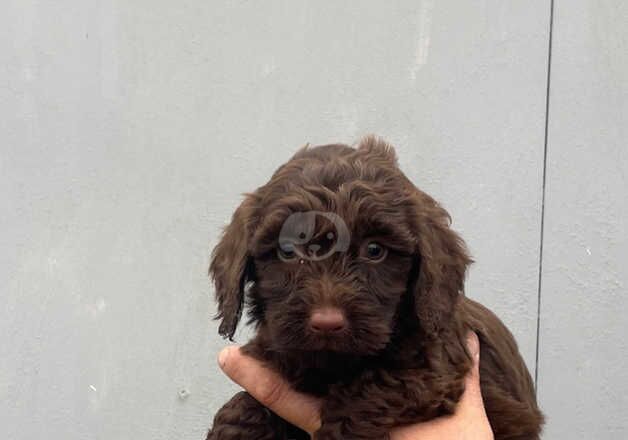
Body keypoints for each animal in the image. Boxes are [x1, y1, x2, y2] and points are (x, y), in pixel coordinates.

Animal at [207, 136, 544, 438]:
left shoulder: (434, 368)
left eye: (374, 250)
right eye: (288, 251)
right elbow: (250, 401)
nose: (327, 324)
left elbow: (369, 391)